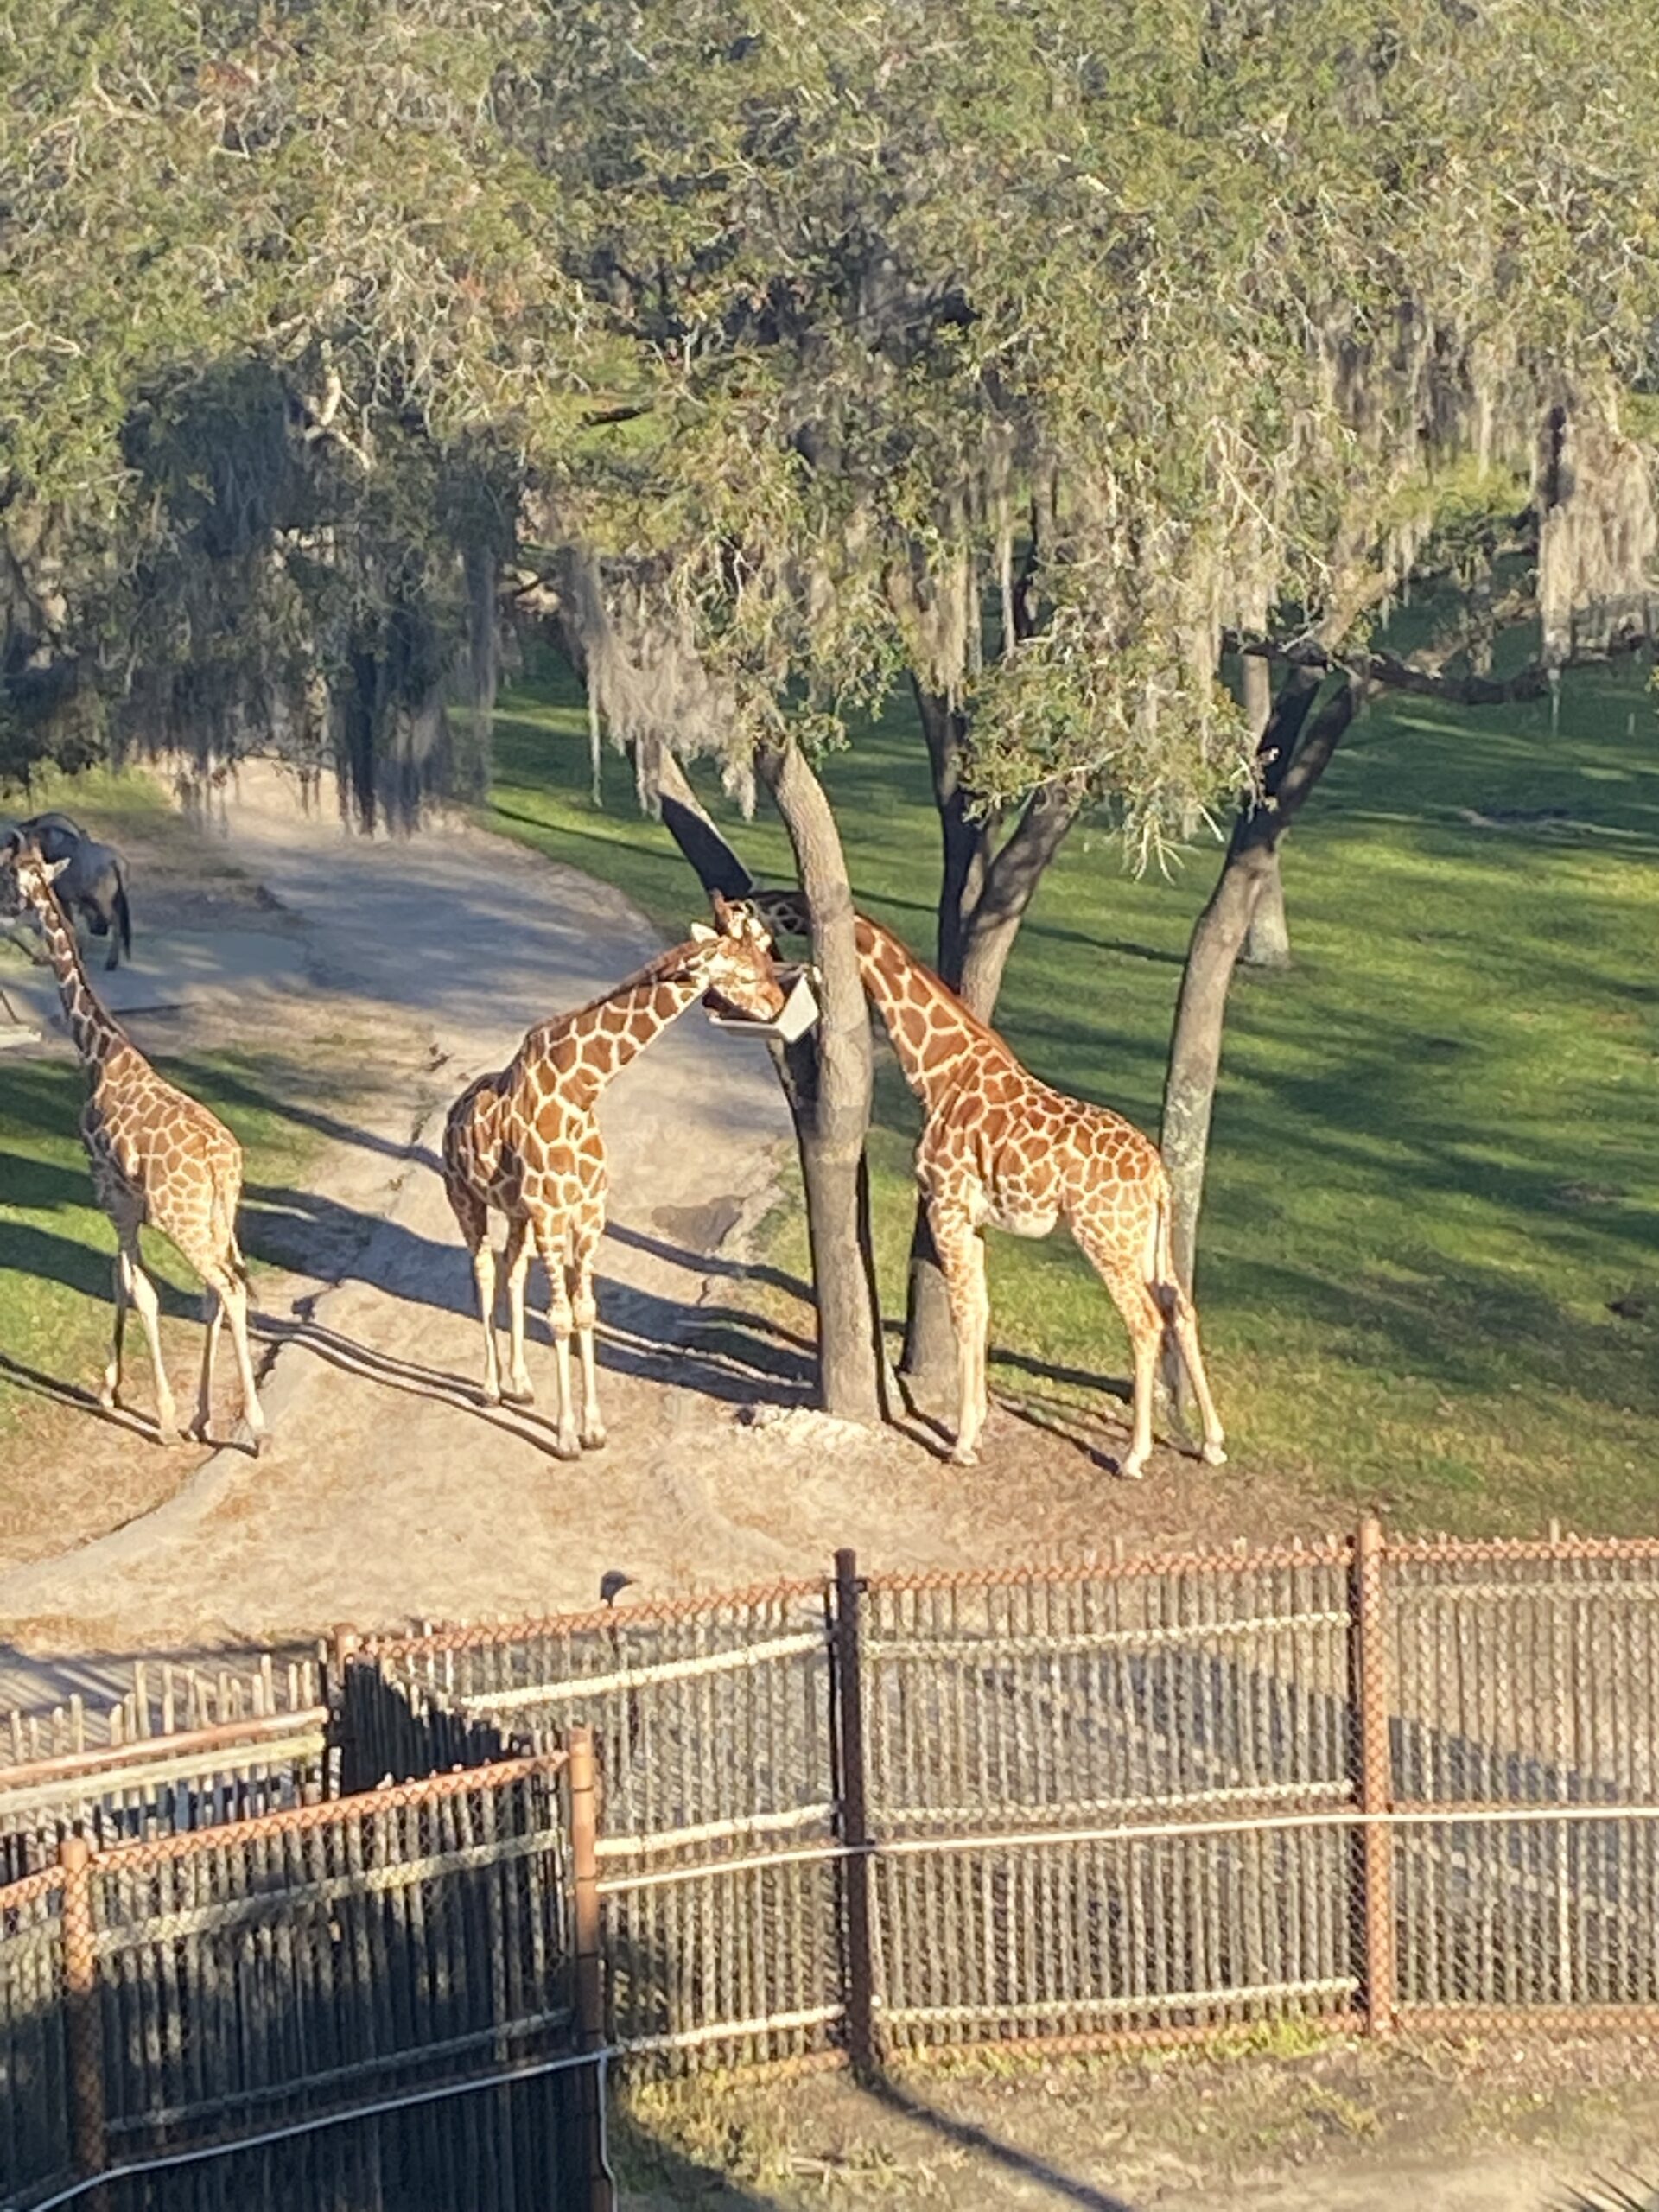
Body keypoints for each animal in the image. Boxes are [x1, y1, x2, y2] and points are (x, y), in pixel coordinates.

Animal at [1, 831, 266, 1451]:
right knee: (218, 1293)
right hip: (218, 1219)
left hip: (183, 1221)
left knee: (228, 1289)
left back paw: (256, 1426)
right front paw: (123, 1392)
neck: (98, 1053)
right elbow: (126, 1282)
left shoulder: (108, 1190)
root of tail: (222, 1164)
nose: (6, 909)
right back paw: (206, 1416)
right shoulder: (126, 1201)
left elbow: (132, 1285)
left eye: (7, 875)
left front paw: (149, 1411)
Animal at [435, 889, 787, 1459]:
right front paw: (565, 1437)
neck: (581, 1093)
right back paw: (490, 1388)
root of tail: (452, 1114)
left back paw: (519, 1384)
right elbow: (559, 1317)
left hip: (516, 1212)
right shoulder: (553, 1216)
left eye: (765, 955)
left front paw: (594, 1429)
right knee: (484, 1269)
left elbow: (585, 1311)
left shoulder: (587, 1216)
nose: (778, 1006)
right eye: (742, 971)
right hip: (465, 1197)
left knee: (511, 1268)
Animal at [747, 889, 1230, 1478]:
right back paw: (1211, 1442)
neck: (935, 1072)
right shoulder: (974, 1219)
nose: (744, 900)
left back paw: (1134, 1455)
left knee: (1144, 1320)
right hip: (1145, 1239)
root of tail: (1158, 1173)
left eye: (780, 903)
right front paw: (973, 1426)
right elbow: (979, 1308)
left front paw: (961, 1442)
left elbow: (963, 1311)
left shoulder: (947, 1204)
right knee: (1180, 1308)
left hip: (1104, 1235)